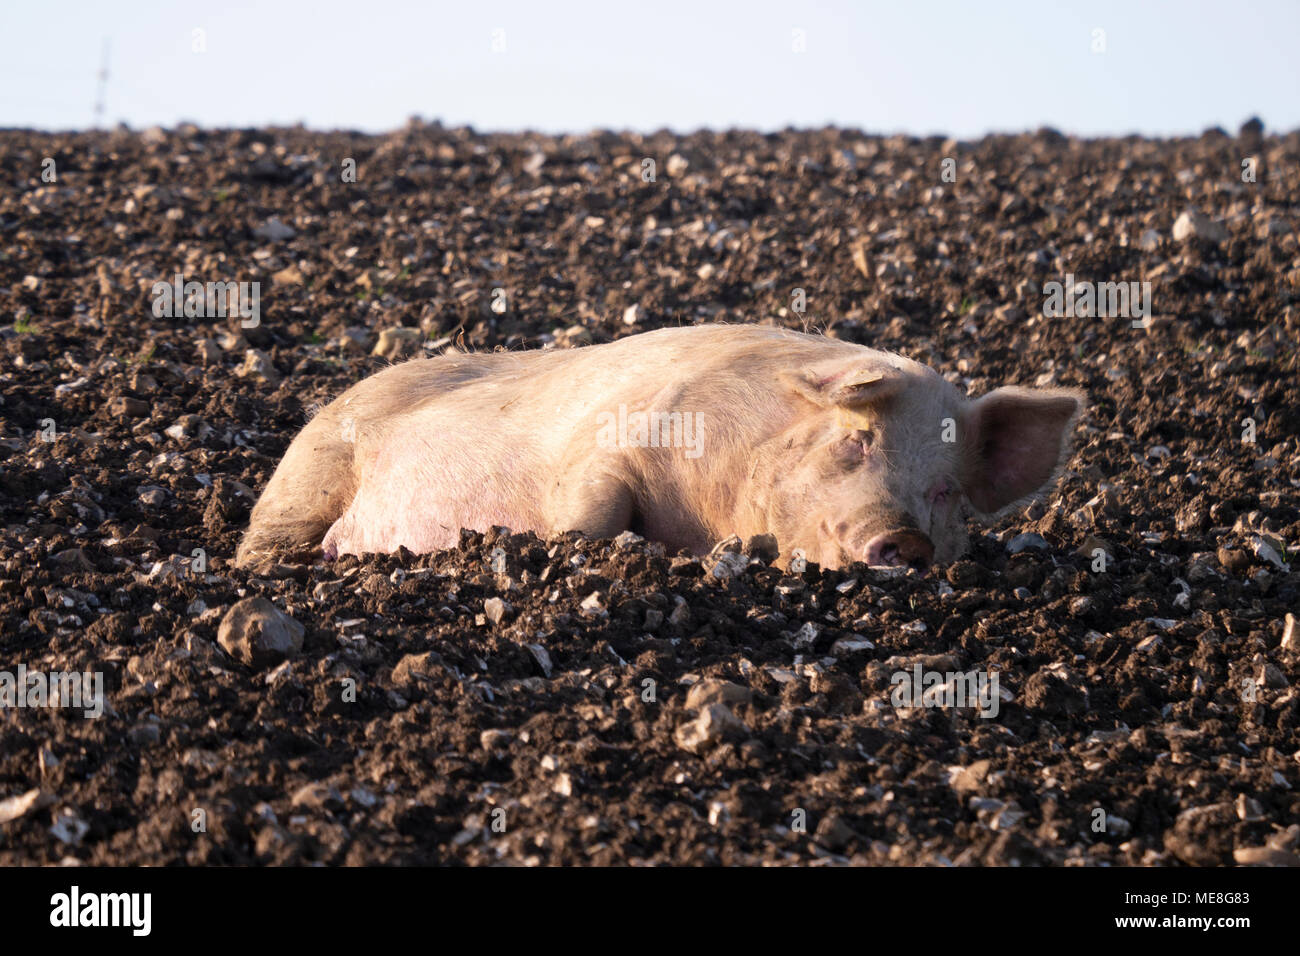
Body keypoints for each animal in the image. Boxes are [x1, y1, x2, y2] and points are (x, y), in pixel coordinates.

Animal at [235, 324, 1084, 571]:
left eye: (945, 490)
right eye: (856, 442)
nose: (903, 539)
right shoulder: (614, 442)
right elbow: (594, 508)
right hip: (311, 466)